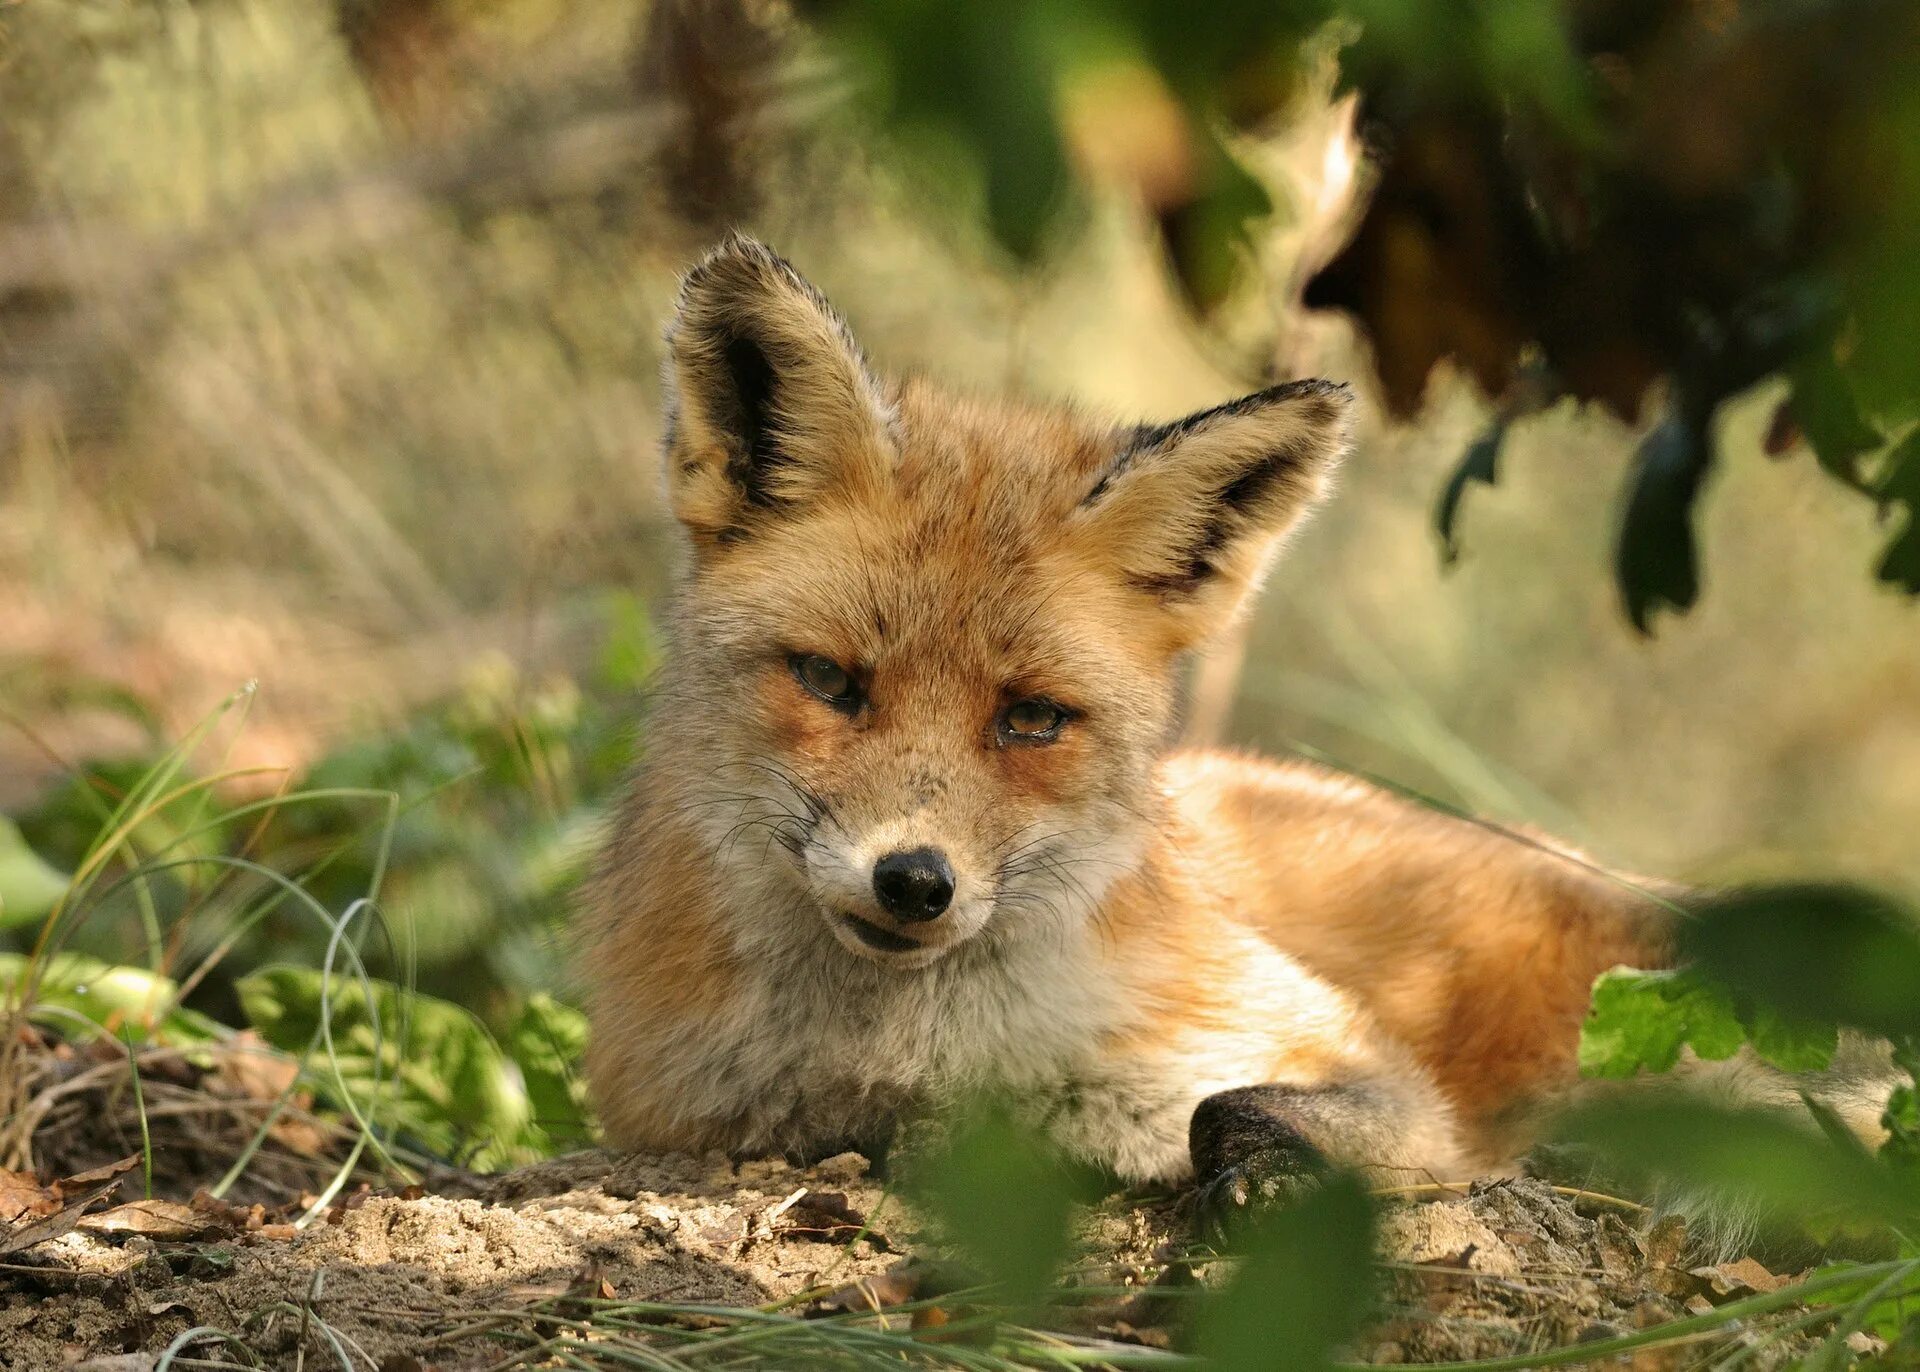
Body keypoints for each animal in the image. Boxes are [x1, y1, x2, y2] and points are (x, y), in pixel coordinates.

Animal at [583, 231, 1873, 1228]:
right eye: (831, 681)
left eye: (1032, 717)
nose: (914, 882)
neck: (902, 1052)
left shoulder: (1359, 1065)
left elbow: (1232, 1108)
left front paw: (1263, 1178)